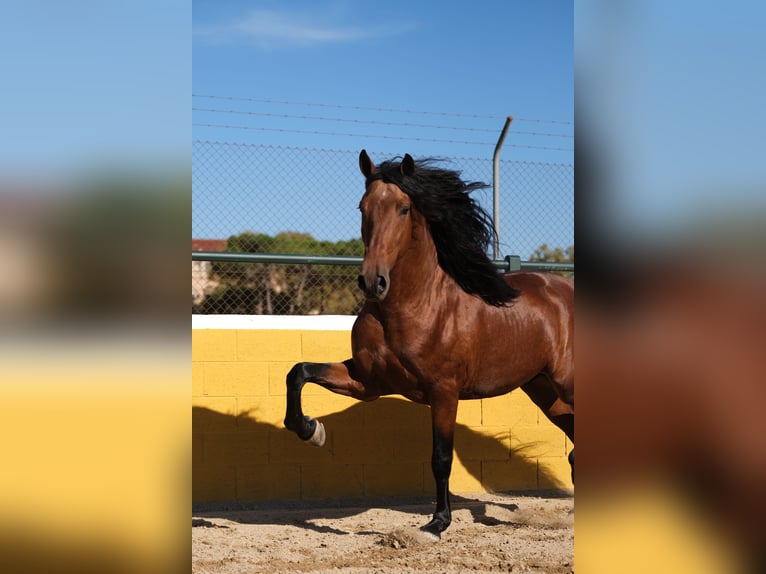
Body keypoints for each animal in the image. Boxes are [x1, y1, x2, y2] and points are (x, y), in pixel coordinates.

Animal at [284, 150, 572, 540]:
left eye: (404, 208)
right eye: (362, 206)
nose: (372, 281)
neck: (416, 307)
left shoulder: (444, 391)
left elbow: (441, 458)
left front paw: (437, 523)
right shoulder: (367, 382)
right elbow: (299, 372)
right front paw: (311, 430)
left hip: (568, 385)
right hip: (545, 392)